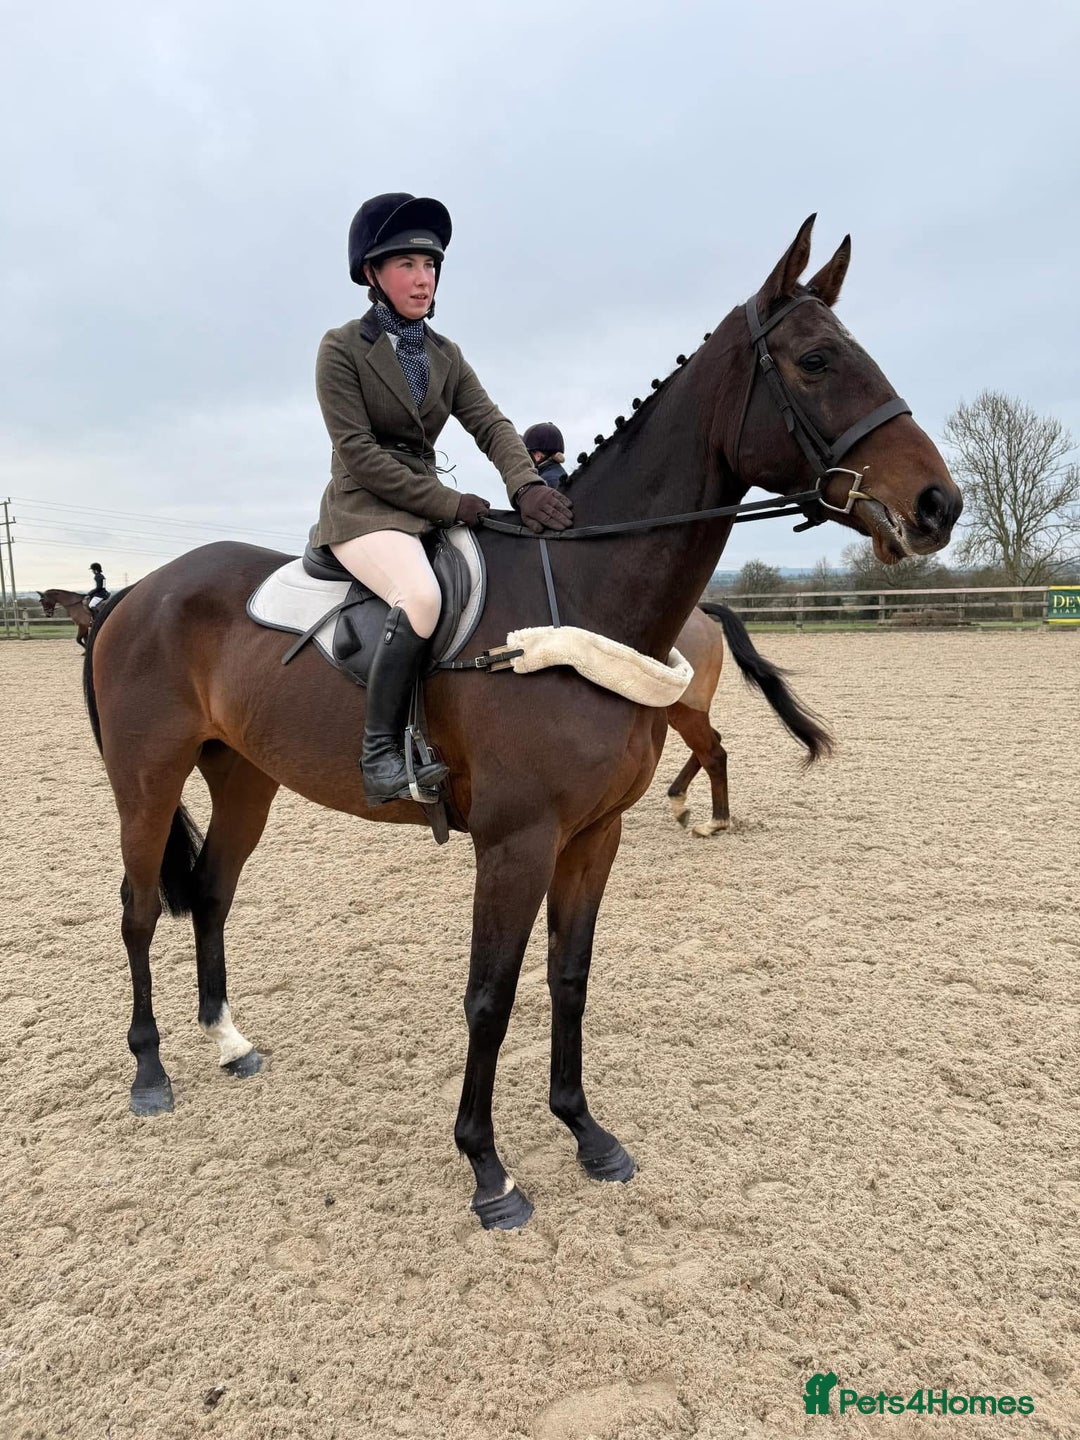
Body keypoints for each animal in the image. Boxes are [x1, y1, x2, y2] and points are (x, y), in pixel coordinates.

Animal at [83, 217, 962, 1230]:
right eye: (817, 360)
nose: (939, 505)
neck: (582, 596)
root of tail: (134, 594)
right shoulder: (516, 840)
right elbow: (489, 995)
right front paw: (488, 1169)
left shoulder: (592, 834)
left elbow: (568, 978)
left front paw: (586, 1132)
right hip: (147, 779)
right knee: (140, 907)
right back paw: (151, 1073)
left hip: (243, 775)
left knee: (215, 893)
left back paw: (228, 1041)